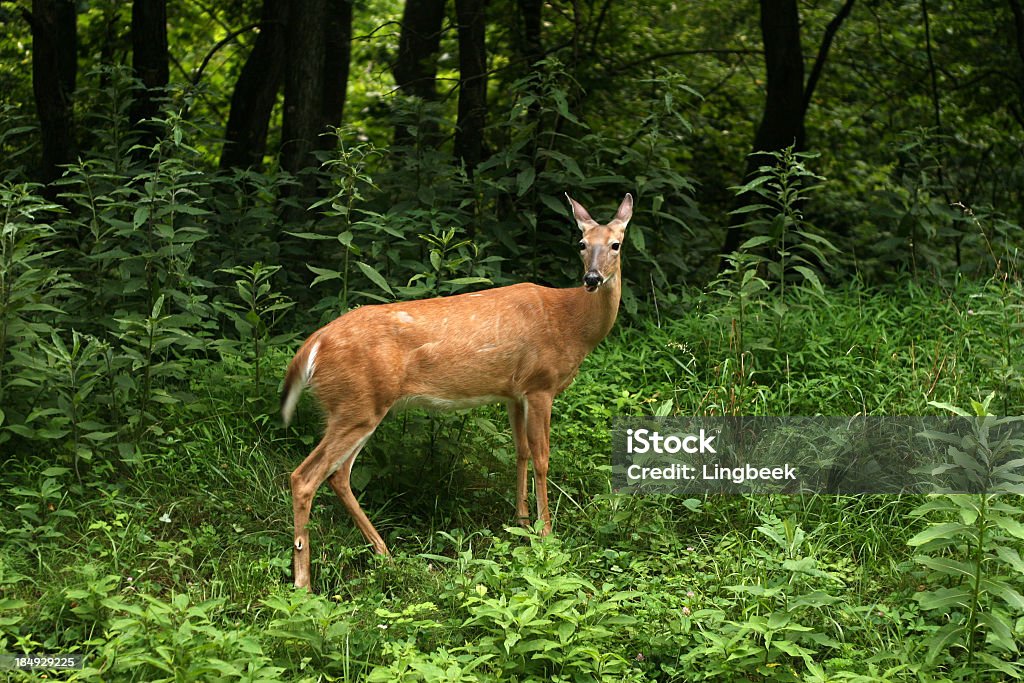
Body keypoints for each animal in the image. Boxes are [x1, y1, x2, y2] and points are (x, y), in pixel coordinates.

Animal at [280, 191, 630, 589]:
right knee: (304, 477)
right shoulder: (541, 385)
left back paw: (386, 556)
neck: (571, 322)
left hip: (356, 407)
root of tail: (314, 344)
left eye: (616, 244)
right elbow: (542, 458)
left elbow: (521, 452)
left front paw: (522, 523)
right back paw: (304, 583)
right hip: (357, 404)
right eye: (581, 244)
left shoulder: (515, 392)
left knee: (338, 475)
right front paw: (546, 535)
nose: (592, 278)